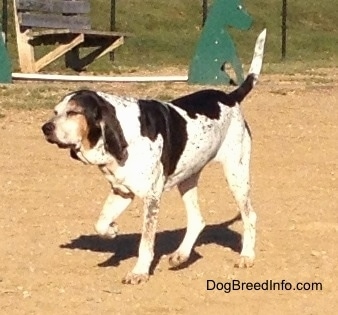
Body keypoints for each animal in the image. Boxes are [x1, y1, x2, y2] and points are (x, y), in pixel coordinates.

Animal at [41, 30, 266, 286]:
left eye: (73, 112)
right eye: (55, 112)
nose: (45, 128)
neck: (124, 132)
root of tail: (230, 97)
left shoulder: (151, 198)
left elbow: (146, 243)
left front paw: (139, 272)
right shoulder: (122, 191)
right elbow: (100, 223)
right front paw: (113, 231)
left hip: (236, 174)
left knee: (250, 216)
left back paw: (246, 256)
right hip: (187, 179)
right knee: (197, 220)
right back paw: (181, 255)